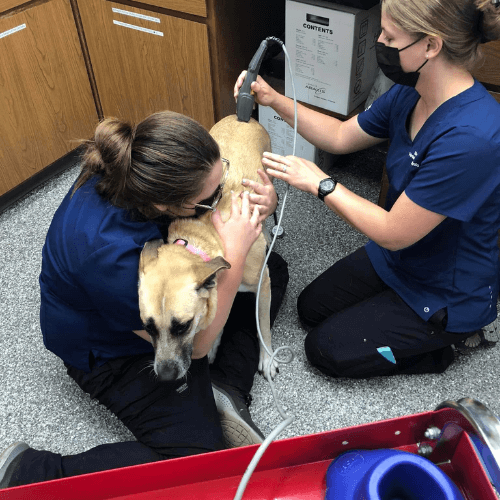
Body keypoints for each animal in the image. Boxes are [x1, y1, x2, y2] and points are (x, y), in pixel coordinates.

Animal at [138, 115, 278, 382]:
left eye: (183, 326)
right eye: (148, 328)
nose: (165, 377)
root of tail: (242, 117)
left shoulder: (264, 283)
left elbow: (263, 326)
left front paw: (267, 357)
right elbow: (218, 318)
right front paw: (213, 345)